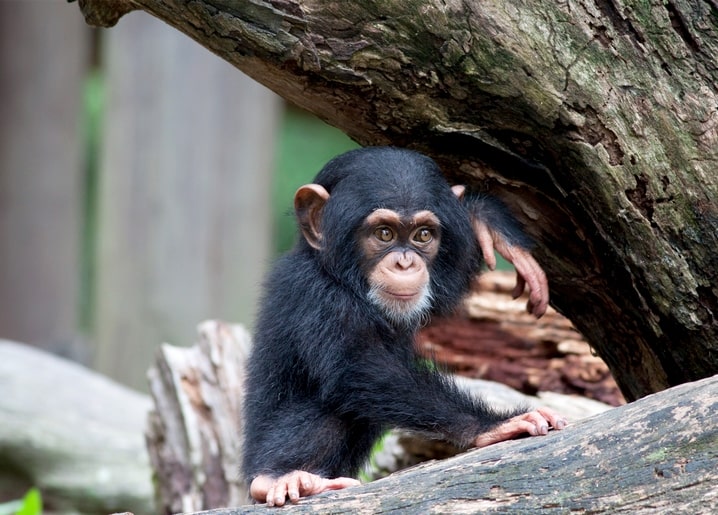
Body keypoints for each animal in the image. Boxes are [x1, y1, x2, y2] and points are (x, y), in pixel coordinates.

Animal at [243, 146, 568, 508]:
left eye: (422, 235)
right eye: (384, 233)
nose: (405, 262)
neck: (344, 280)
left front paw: (486, 222)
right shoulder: (316, 296)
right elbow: (358, 366)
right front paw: (494, 426)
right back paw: (280, 478)